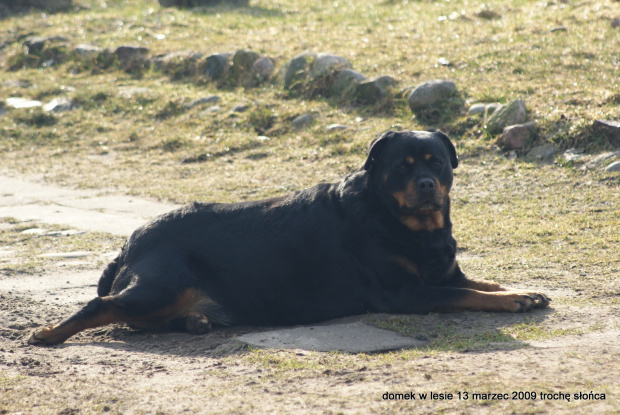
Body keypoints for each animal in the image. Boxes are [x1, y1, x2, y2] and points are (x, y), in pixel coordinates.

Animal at [30, 132, 552, 346]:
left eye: (436, 163)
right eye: (402, 167)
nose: (425, 185)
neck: (404, 224)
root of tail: (130, 241)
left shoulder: (443, 271)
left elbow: (483, 283)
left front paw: (524, 290)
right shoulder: (407, 293)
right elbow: (469, 295)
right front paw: (514, 300)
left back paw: (193, 323)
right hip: (161, 284)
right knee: (103, 307)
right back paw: (50, 334)